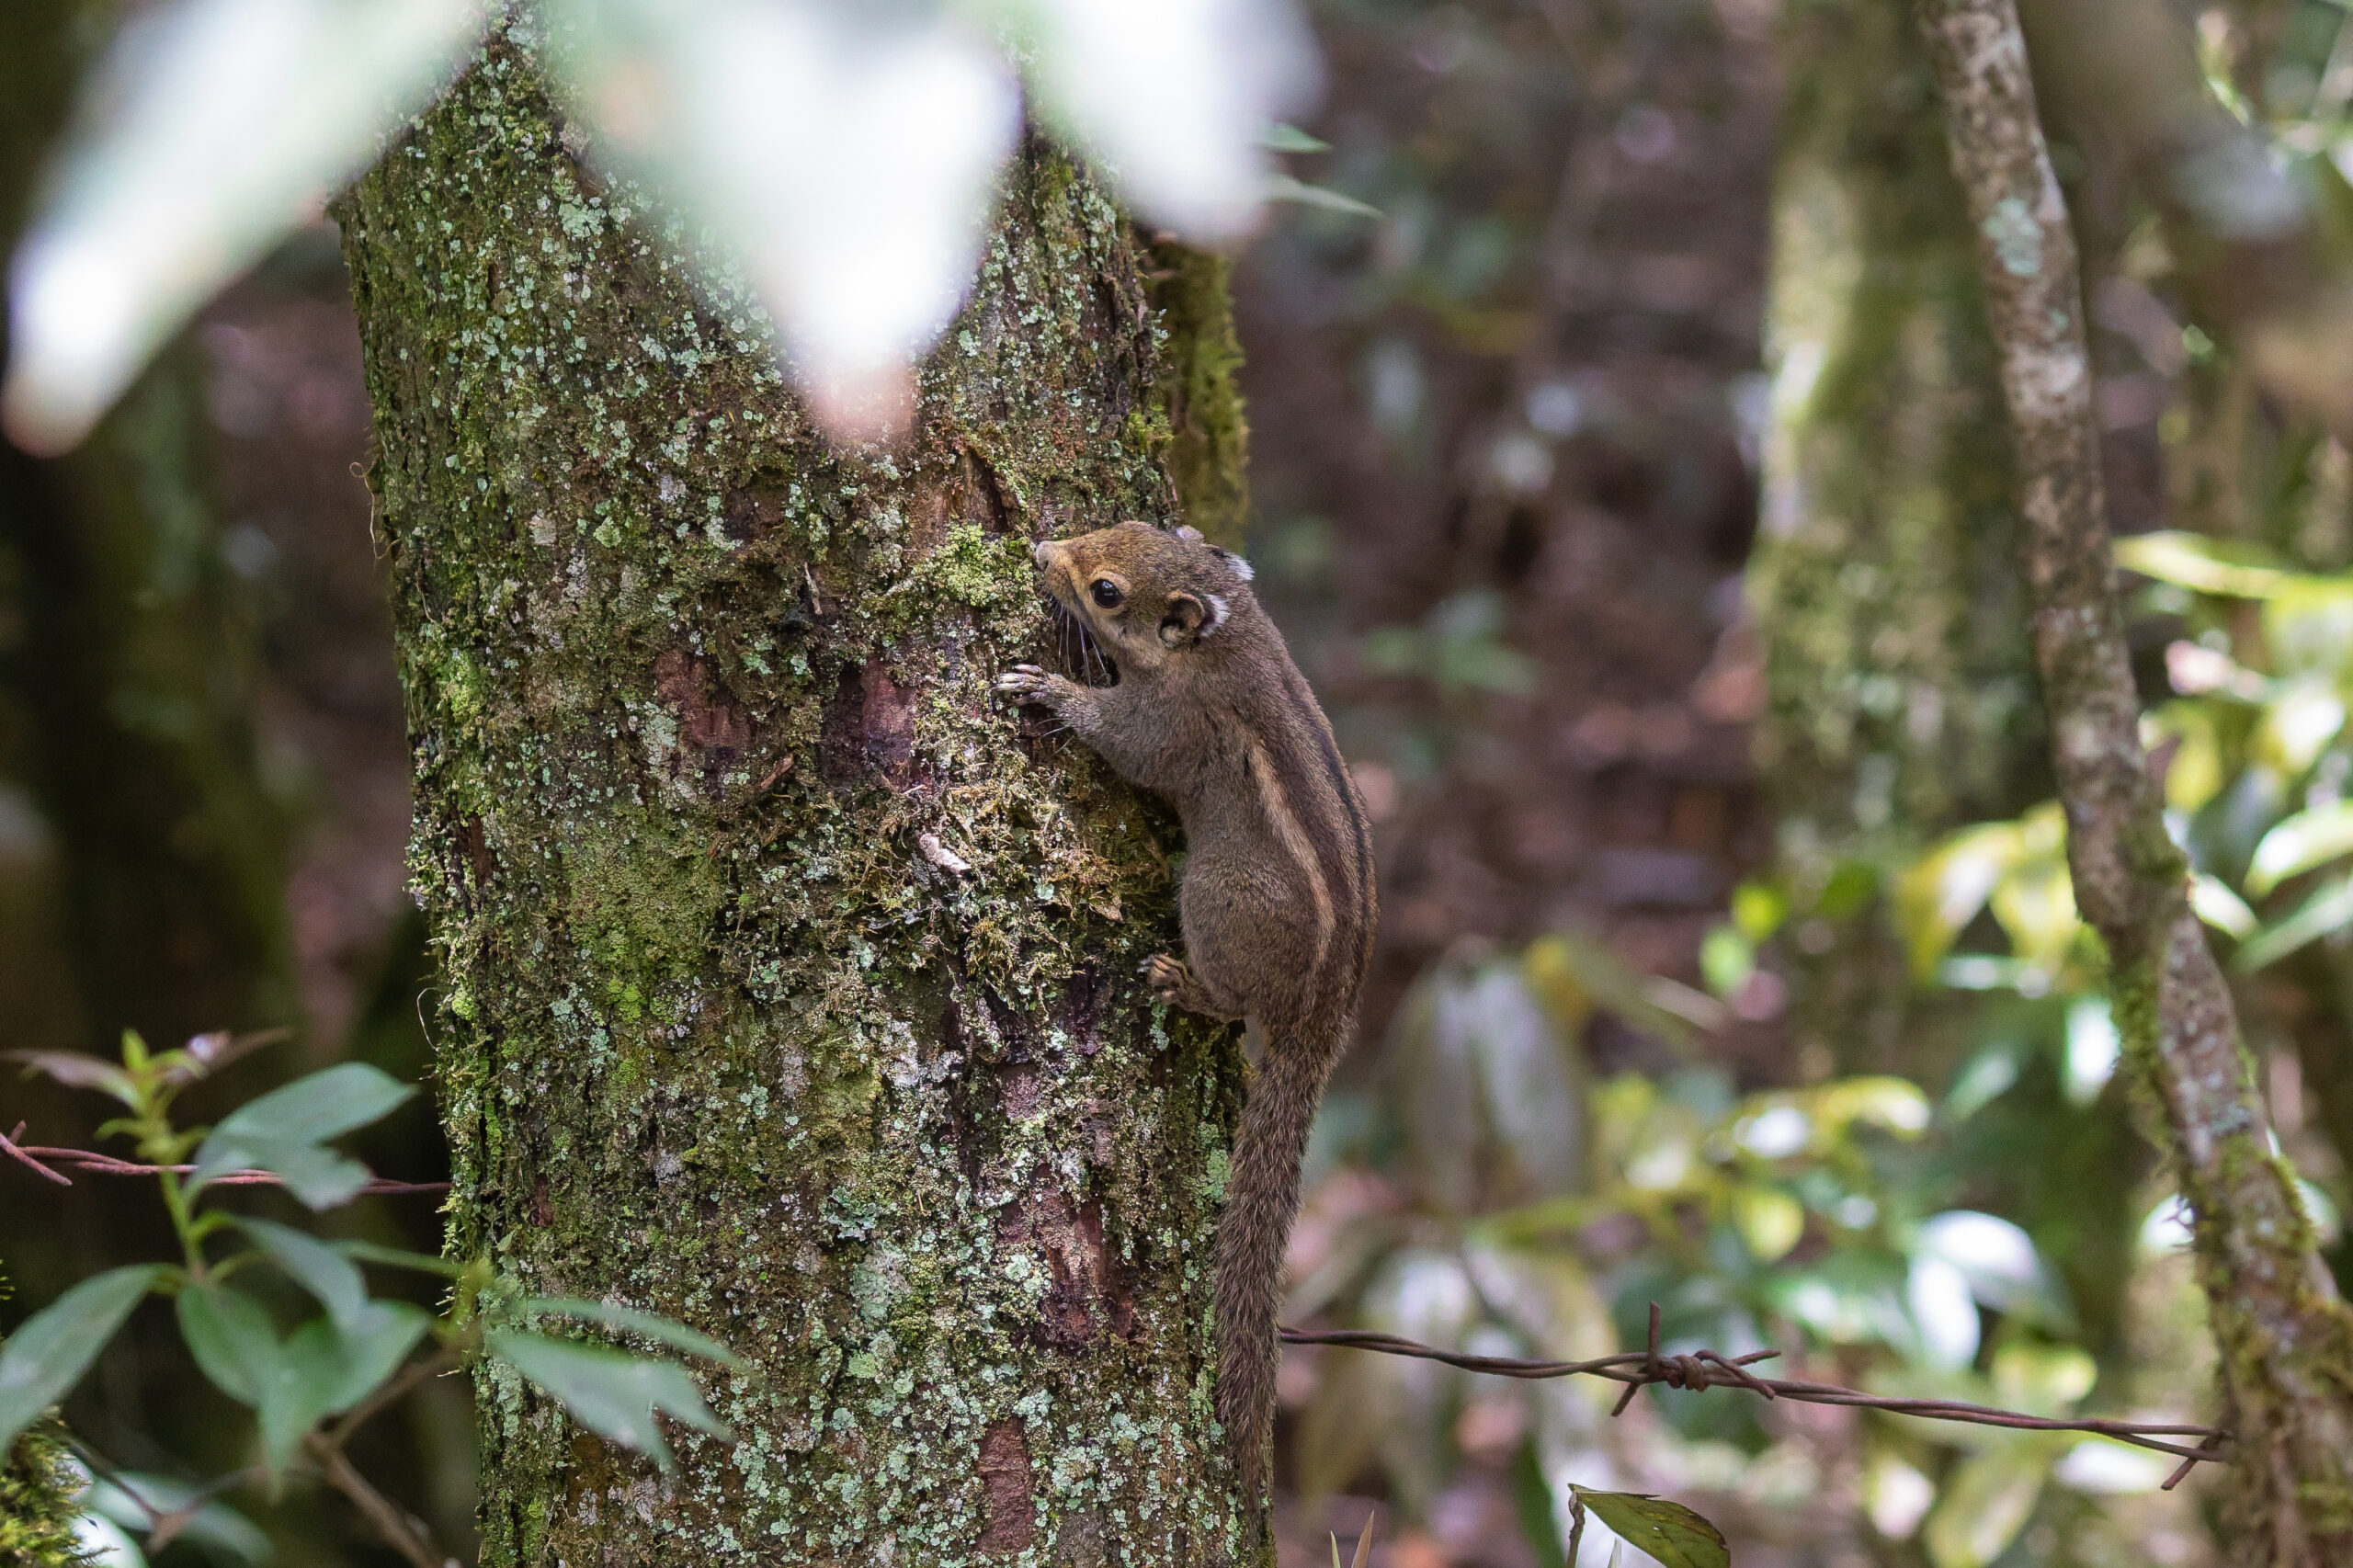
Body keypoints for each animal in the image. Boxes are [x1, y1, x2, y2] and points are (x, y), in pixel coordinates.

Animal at [996, 519, 1376, 1538]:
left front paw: (1046, 687)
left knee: (1228, 997)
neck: (1228, 636)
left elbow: (1123, 743)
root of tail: (1318, 1024)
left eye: (1106, 590)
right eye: (1129, 526)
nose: (1040, 548)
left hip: (1213, 898)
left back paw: (1183, 984)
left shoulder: (1170, 726)